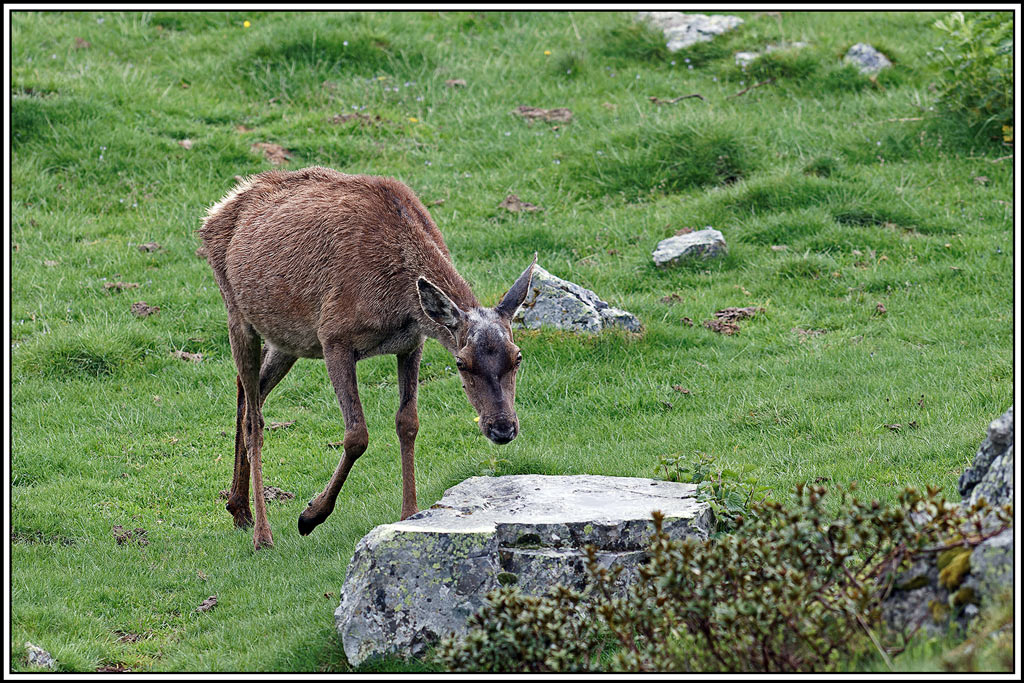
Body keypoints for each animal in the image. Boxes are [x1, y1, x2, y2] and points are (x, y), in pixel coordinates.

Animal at [199, 166, 535, 550]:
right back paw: (262, 534)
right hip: (237, 314)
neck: (398, 302)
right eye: (462, 363)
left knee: (246, 392)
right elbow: (357, 435)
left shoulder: (411, 343)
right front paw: (311, 515)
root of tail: (215, 212)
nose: (503, 428)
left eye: (517, 357)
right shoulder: (334, 336)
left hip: (286, 340)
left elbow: (408, 422)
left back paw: (239, 508)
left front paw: (410, 515)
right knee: (255, 418)